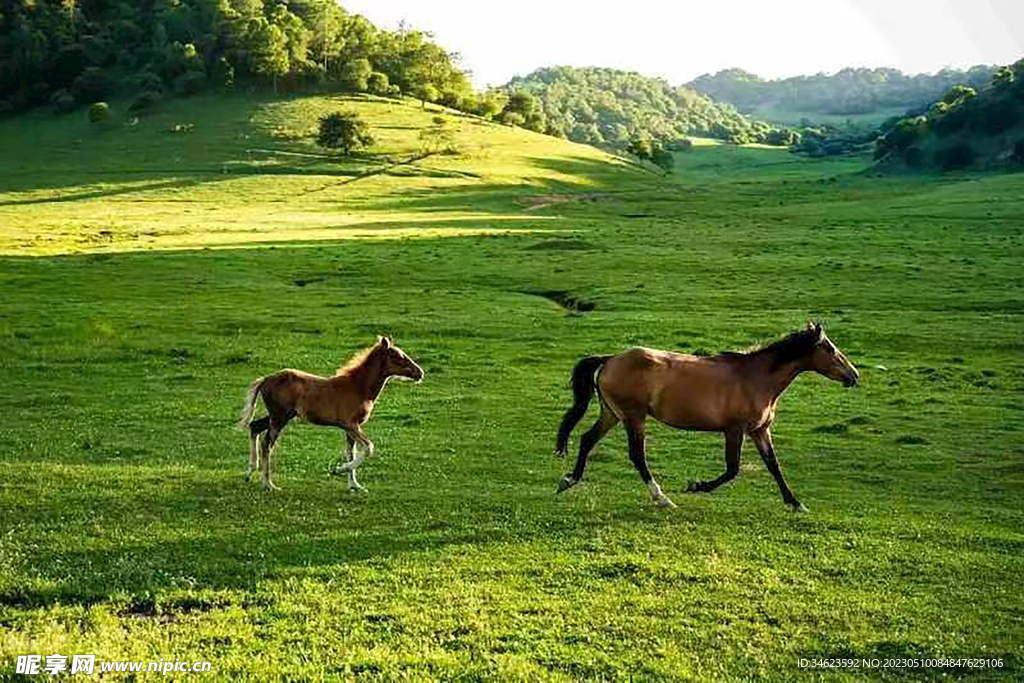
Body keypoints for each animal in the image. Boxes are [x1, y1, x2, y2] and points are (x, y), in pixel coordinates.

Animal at [237, 335, 421, 491]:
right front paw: (339, 469)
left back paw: (249, 473)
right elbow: (368, 447)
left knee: (254, 427)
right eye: (397, 356)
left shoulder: (350, 428)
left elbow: (351, 452)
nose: (420, 373)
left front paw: (355, 485)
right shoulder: (350, 425)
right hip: (279, 418)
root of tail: (265, 379)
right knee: (266, 444)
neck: (359, 387)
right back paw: (268, 484)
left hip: (280, 416)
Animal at [552, 325, 856, 511]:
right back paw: (663, 499)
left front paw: (795, 503)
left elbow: (774, 466)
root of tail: (610, 359)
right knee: (637, 455)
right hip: (633, 416)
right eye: (830, 349)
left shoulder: (760, 430)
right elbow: (732, 469)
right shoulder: (734, 430)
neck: (756, 378)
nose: (854, 375)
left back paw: (569, 480)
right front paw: (696, 485)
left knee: (587, 440)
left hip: (612, 414)